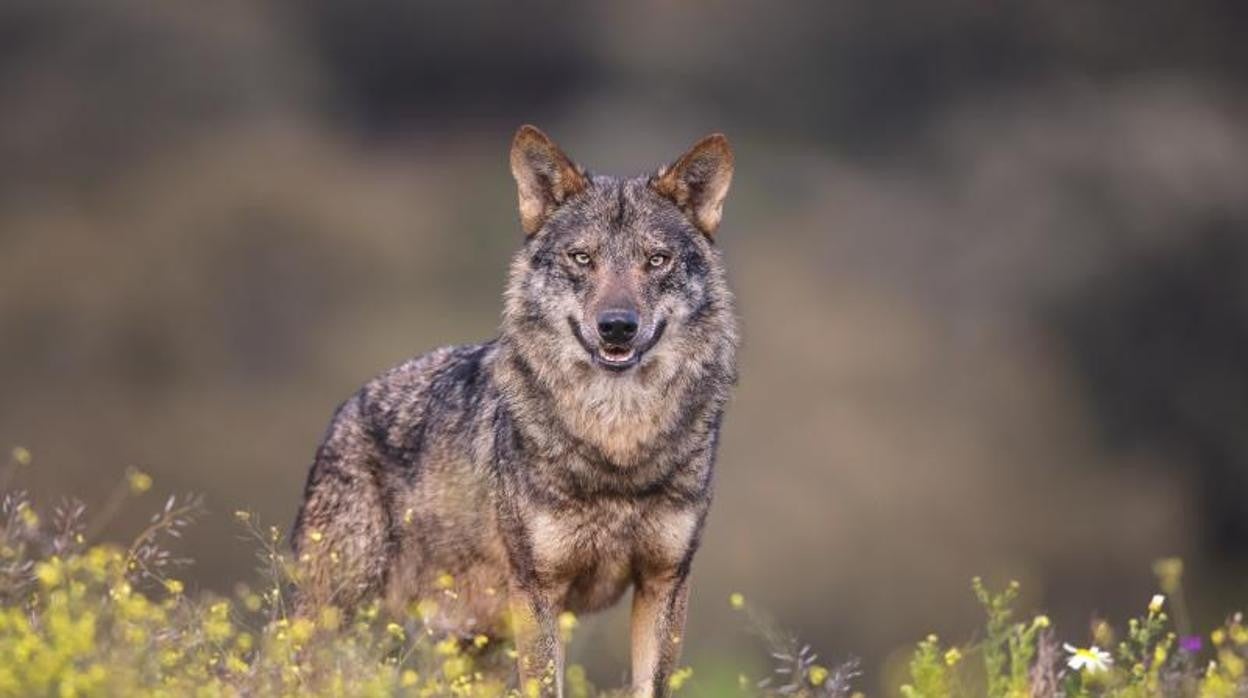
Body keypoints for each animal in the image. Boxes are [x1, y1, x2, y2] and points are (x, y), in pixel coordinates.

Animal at [292, 126, 733, 698]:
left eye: (656, 260)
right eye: (581, 258)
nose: (617, 326)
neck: (616, 445)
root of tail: (345, 409)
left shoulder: (663, 583)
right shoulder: (539, 589)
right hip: (339, 621)